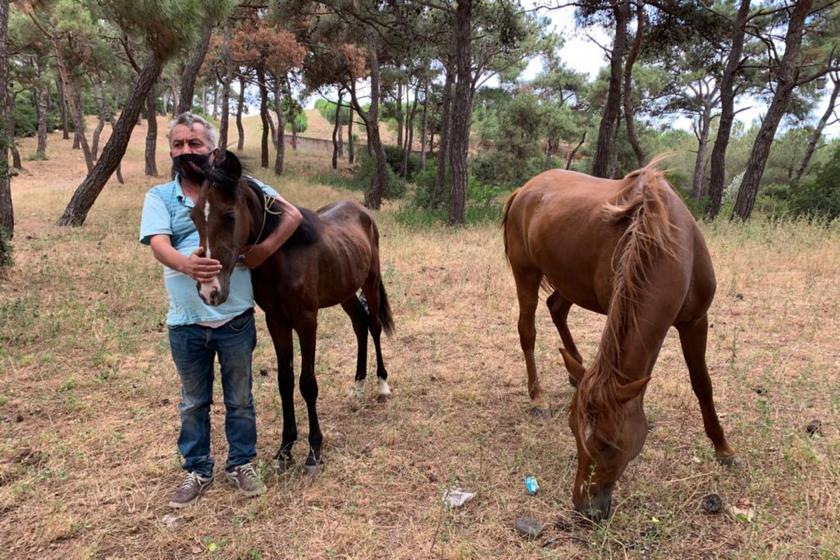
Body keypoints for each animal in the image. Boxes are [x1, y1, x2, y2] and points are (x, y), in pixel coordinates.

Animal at [189, 150, 392, 472]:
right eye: (194, 216)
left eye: (229, 215)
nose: (209, 290)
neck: (282, 257)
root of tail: (361, 211)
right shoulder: (277, 322)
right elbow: (285, 382)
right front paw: (285, 450)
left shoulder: (307, 321)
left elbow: (307, 383)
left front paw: (314, 451)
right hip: (346, 291)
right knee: (360, 326)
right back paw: (357, 388)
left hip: (370, 284)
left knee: (372, 327)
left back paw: (382, 385)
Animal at [506, 159, 736, 520]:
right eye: (572, 430)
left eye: (608, 443)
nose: (584, 508)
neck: (668, 240)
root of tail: (524, 190)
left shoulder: (696, 321)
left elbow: (702, 384)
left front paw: (723, 448)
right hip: (525, 273)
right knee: (527, 331)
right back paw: (537, 397)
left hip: (569, 281)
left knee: (556, 309)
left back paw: (575, 372)